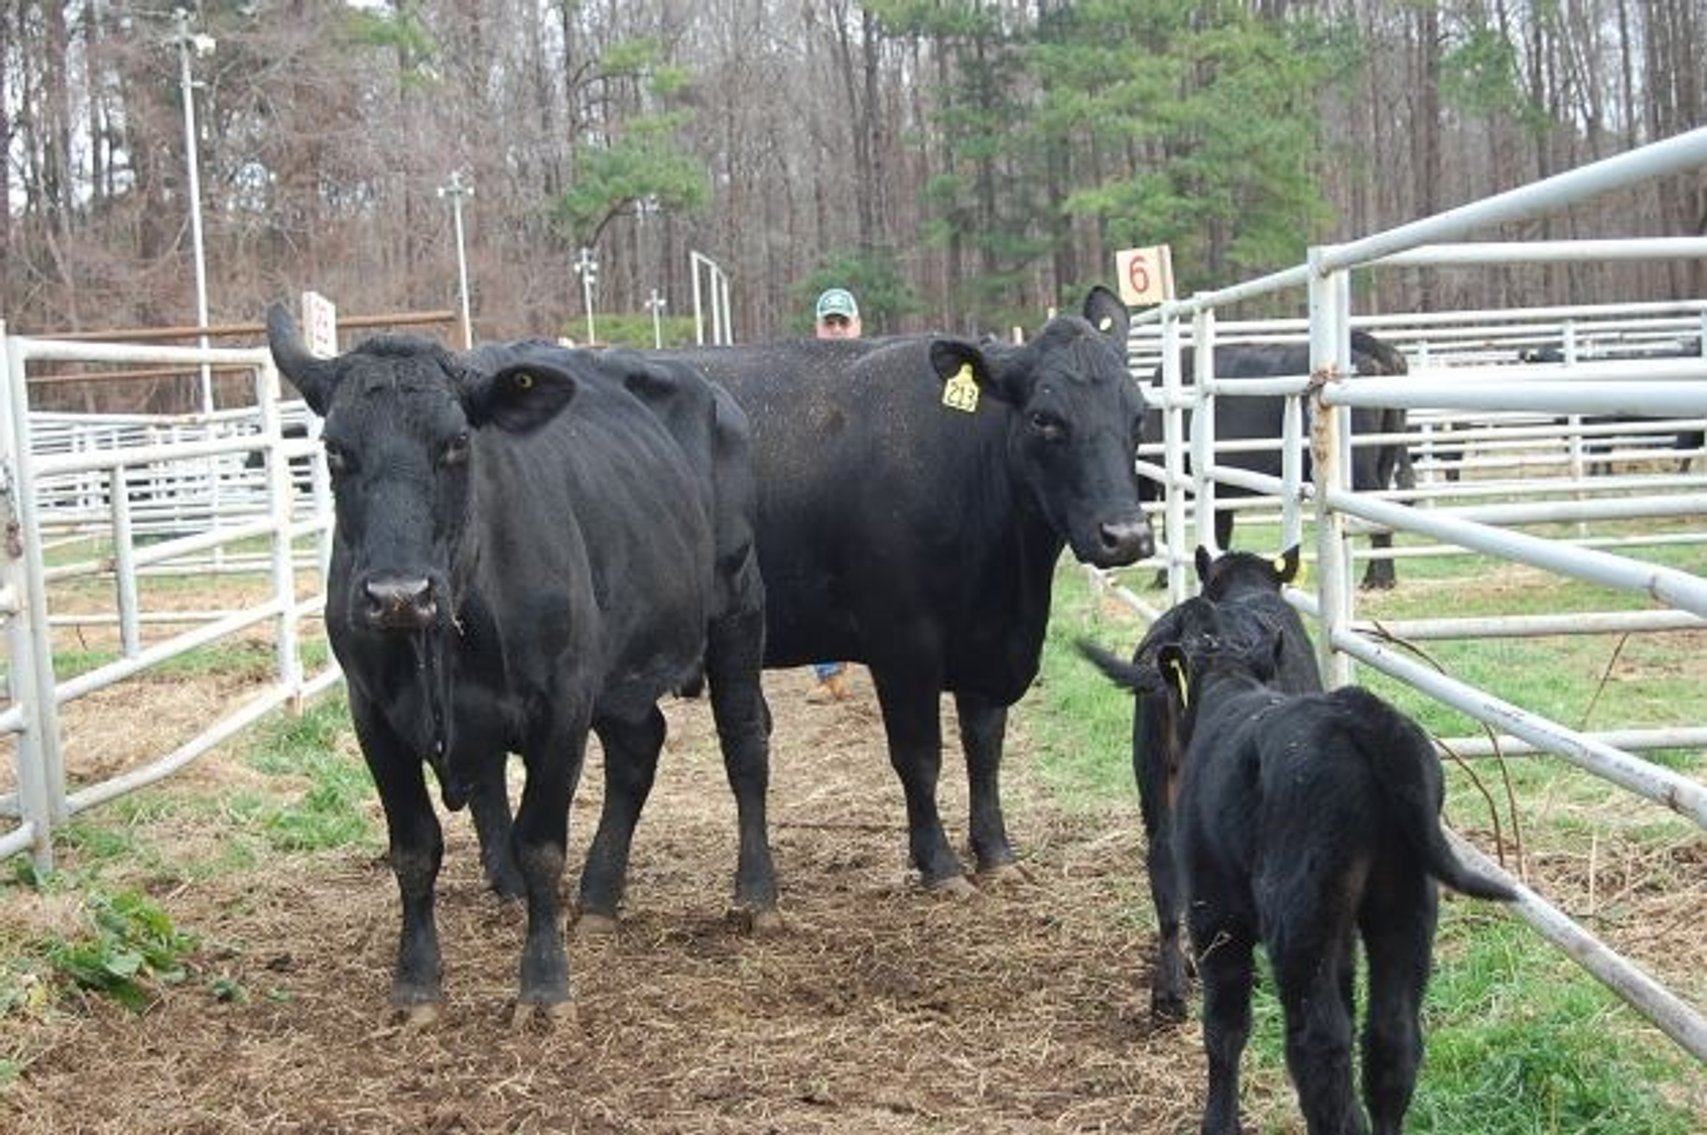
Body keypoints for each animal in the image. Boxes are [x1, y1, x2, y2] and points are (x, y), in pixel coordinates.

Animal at [266, 310, 778, 1021]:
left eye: (457, 443)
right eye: (335, 449)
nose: (398, 594)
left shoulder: (561, 704)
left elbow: (538, 845)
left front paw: (544, 984)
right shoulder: (372, 713)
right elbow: (414, 848)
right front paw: (417, 982)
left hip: (737, 608)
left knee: (744, 742)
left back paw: (755, 894)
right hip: (619, 670)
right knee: (639, 748)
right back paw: (599, 897)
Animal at [663, 286, 1154, 891]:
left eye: (1139, 414)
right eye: (1044, 419)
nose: (1127, 535)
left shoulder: (988, 642)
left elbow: (984, 748)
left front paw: (996, 853)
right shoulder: (902, 639)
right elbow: (919, 755)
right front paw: (939, 865)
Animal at [1142, 330, 1413, 589]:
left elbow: (1168, 528)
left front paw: (1162, 578)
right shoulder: (1221, 491)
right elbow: (1220, 533)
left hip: (1360, 467)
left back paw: (1380, 579)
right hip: (1385, 457)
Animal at [1151, 597, 1515, 1135]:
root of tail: (1362, 716)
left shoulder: (1212, 910)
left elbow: (1224, 1025)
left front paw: (1218, 1122)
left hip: (1298, 917)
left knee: (1320, 1047)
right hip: (1402, 903)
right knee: (1392, 1040)